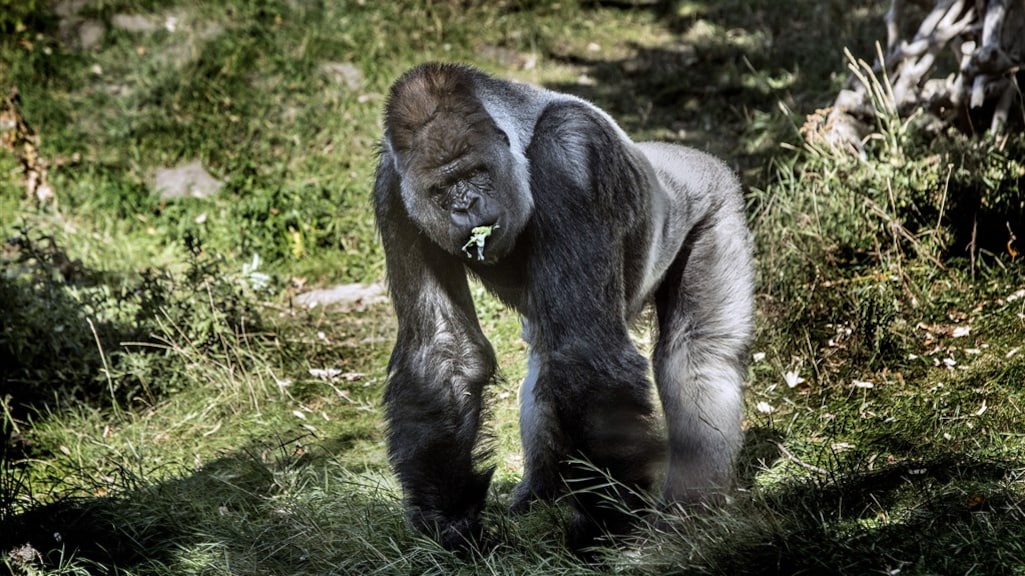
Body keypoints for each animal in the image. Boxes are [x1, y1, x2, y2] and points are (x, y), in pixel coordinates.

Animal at [372, 62, 754, 551]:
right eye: (441, 189)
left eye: (476, 173)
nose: (465, 206)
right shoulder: (394, 192)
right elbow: (444, 349)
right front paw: (449, 519)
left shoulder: (571, 152)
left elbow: (584, 349)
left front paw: (604, 525)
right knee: (545, 357)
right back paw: (541, 493)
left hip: (716, 200)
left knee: (699, 355)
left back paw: (690, 505)